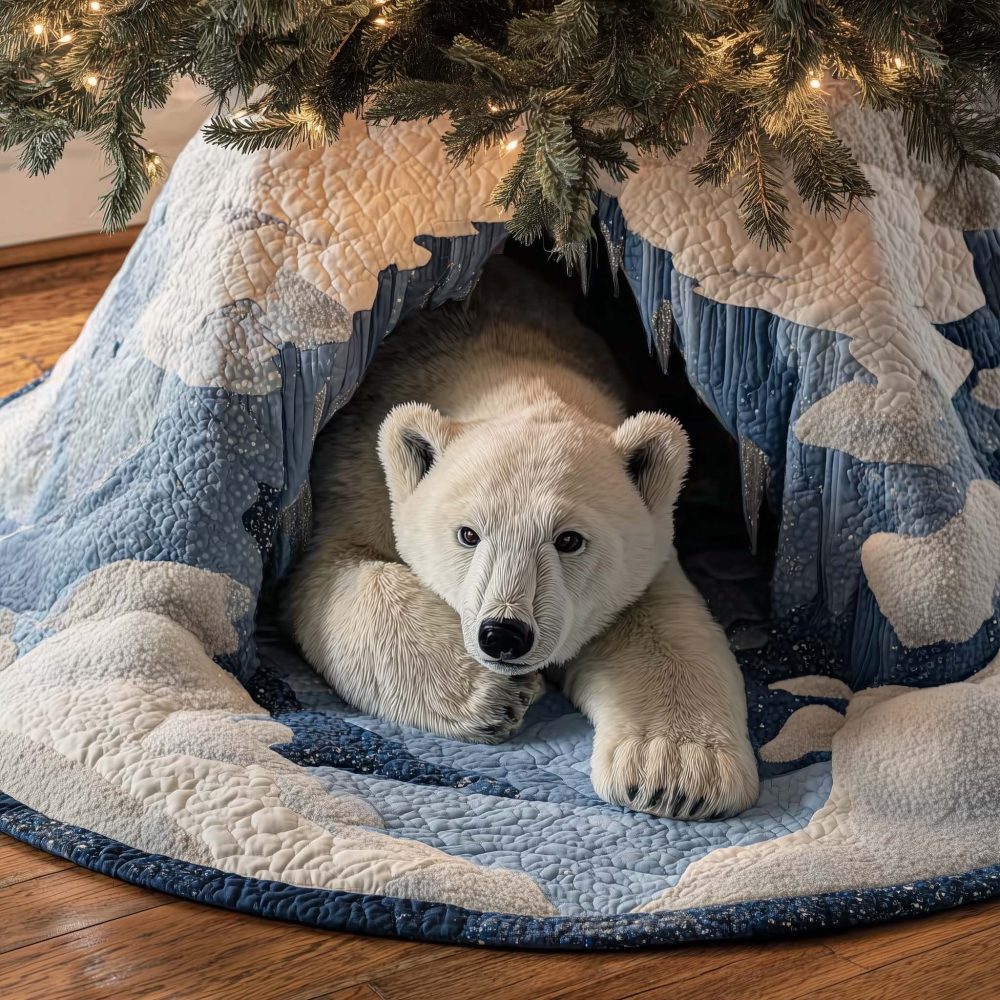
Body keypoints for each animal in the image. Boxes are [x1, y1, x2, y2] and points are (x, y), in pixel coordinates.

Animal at [288, 258, 758, 819]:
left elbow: (657, 626)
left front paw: (677, 772)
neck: (506, 361)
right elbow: (338, 576)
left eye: (569, 540)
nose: (504, 635)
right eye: (468, 534)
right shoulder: (357, 473)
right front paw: (495, 695)